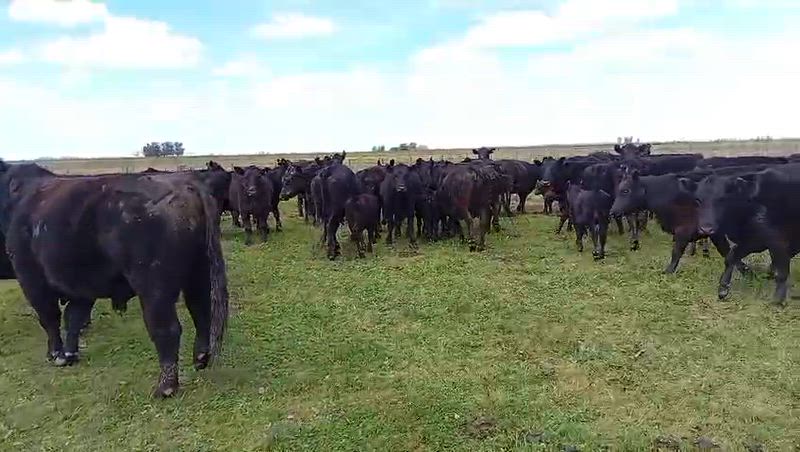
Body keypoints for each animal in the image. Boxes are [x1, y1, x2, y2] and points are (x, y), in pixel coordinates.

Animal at [0, 162, 228, 397]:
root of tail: (186, 184)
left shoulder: (31, 279)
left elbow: (50, 318)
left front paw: (57, 355)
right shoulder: (82, 287)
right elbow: (73, 317)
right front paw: (70, 354)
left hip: (154, 288)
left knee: (167, 328)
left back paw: (165, 387)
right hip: (199, 274)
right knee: (201, 311)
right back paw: (200, 359)